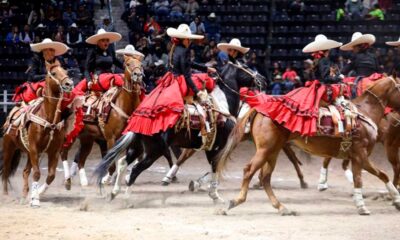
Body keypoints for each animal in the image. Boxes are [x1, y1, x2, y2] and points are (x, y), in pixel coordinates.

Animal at [0, 61, 74, 206]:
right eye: (54, 73)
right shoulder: (34, 149)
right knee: (5, 171)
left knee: (25, 172)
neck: (49, 119)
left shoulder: (53, 151)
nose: (69, 83)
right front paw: (35, 200)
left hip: (29, 154)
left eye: (66, 72)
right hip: (9, 149)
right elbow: (37, 174)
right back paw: (5, 195)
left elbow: (50, 175)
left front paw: (36, 194)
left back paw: (24, 196)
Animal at [61, 55, 153, 188]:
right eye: (128, 64)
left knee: (81, 159)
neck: (124, 105)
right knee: (64, 153)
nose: (138, 75)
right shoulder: (111, 138)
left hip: (87, 139)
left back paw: (84, 181)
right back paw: (68, 179)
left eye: (141, 64)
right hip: (71, 135)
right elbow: (112, 162)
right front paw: (106, 179)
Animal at [94, 62, 266, 201]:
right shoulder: (218, 147)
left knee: (123, 163)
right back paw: (127, 198)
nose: (263, 79)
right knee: (135, 169)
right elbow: (215, 167)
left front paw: (204, 188)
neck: (221, 106)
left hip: (137, 148)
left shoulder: (208, 147)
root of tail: (140, 119)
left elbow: (212, 167)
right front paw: (214, 194)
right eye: (246, 66)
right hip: (153, 151)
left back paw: (115, 192)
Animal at [217, 75, 400, 216]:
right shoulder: (360, 154)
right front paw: (380, 202)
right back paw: (233, 203)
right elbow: (370, 177)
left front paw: (382, 202)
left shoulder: (358, 157)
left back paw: (282, 207)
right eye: (399, 87)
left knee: (265, 177)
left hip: (273, 151)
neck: (364, 113)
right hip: (265, 150)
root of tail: (260, 109)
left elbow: (371, 177)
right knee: (249, 171)